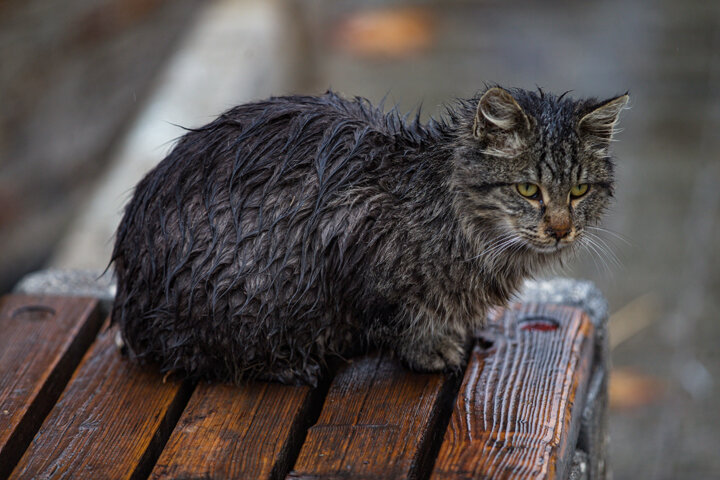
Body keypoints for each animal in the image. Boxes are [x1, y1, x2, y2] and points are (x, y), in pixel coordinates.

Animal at [109, 86, 628, 386]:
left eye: (579, 190)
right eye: (528, 190)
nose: (560, 229)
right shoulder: (350, 233)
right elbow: (399, 316)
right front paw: (430, 348)